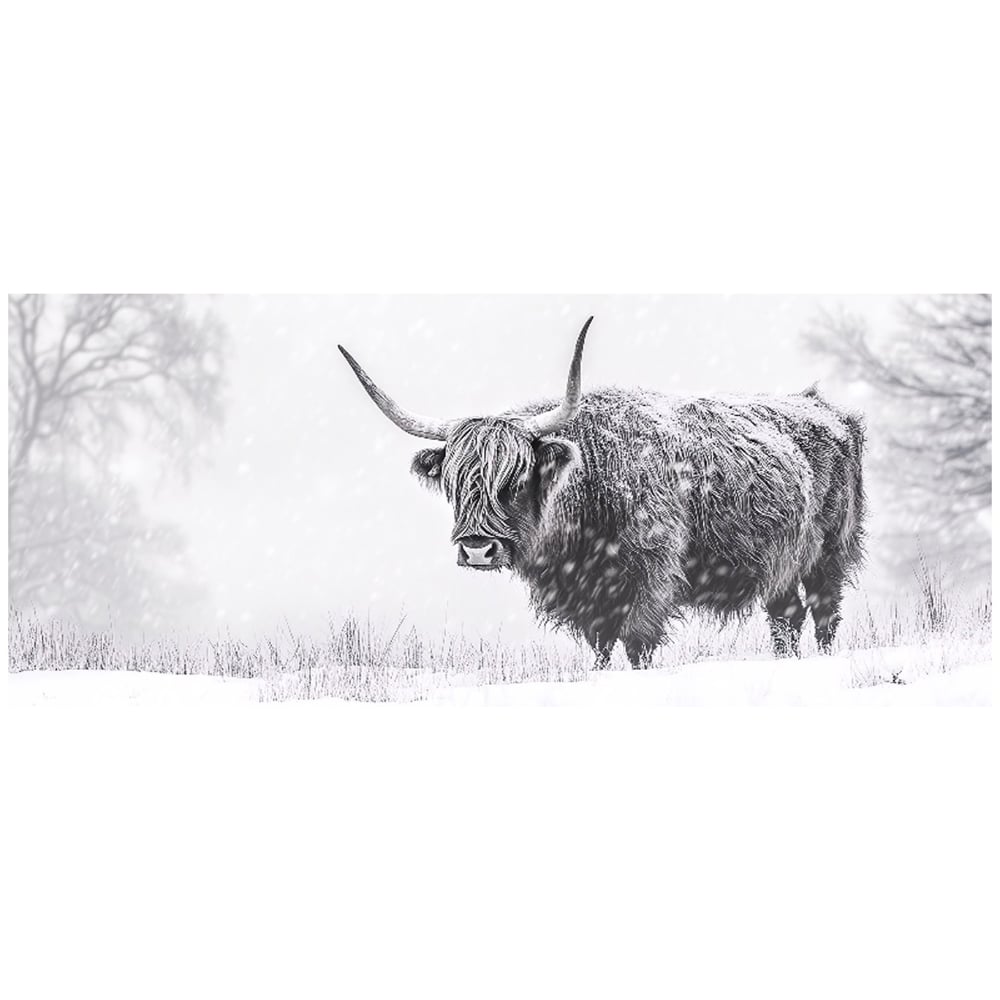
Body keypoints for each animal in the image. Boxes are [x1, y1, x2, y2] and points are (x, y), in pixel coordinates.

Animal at [339, 318, 866, 667]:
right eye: (454, 482)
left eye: (516, 478)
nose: (477, 549)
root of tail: (823, 407)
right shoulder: (585, 595)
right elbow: (601, 645)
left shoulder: (653, 575)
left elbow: (636, 643)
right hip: (782, 565)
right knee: (785, 617)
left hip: (830, 552)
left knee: (822, 614)